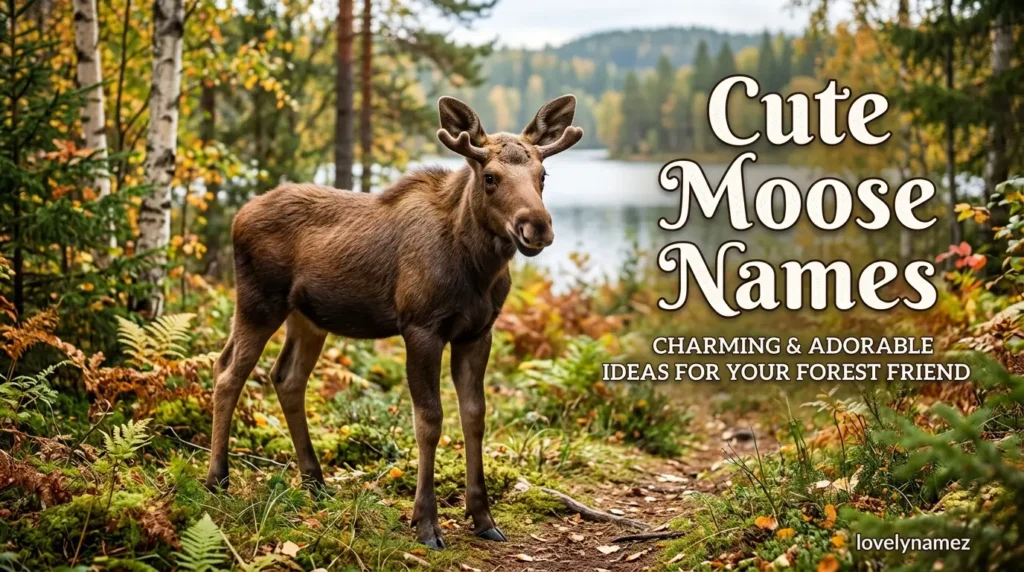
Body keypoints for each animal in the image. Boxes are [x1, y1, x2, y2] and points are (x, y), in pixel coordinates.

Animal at [204, 94, 583, 549]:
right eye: (490, 177)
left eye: (543, 174)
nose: (537, 226)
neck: (477, 270)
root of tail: (237, 216)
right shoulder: (420, 326)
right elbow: (429, 421)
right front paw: (426, 523)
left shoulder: (478, 332)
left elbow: (475, 415)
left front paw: (483, 517)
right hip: (259, 300)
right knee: (228, 370)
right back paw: (217, 480)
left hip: (308, 317)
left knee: (287, 377)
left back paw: (315, 482)